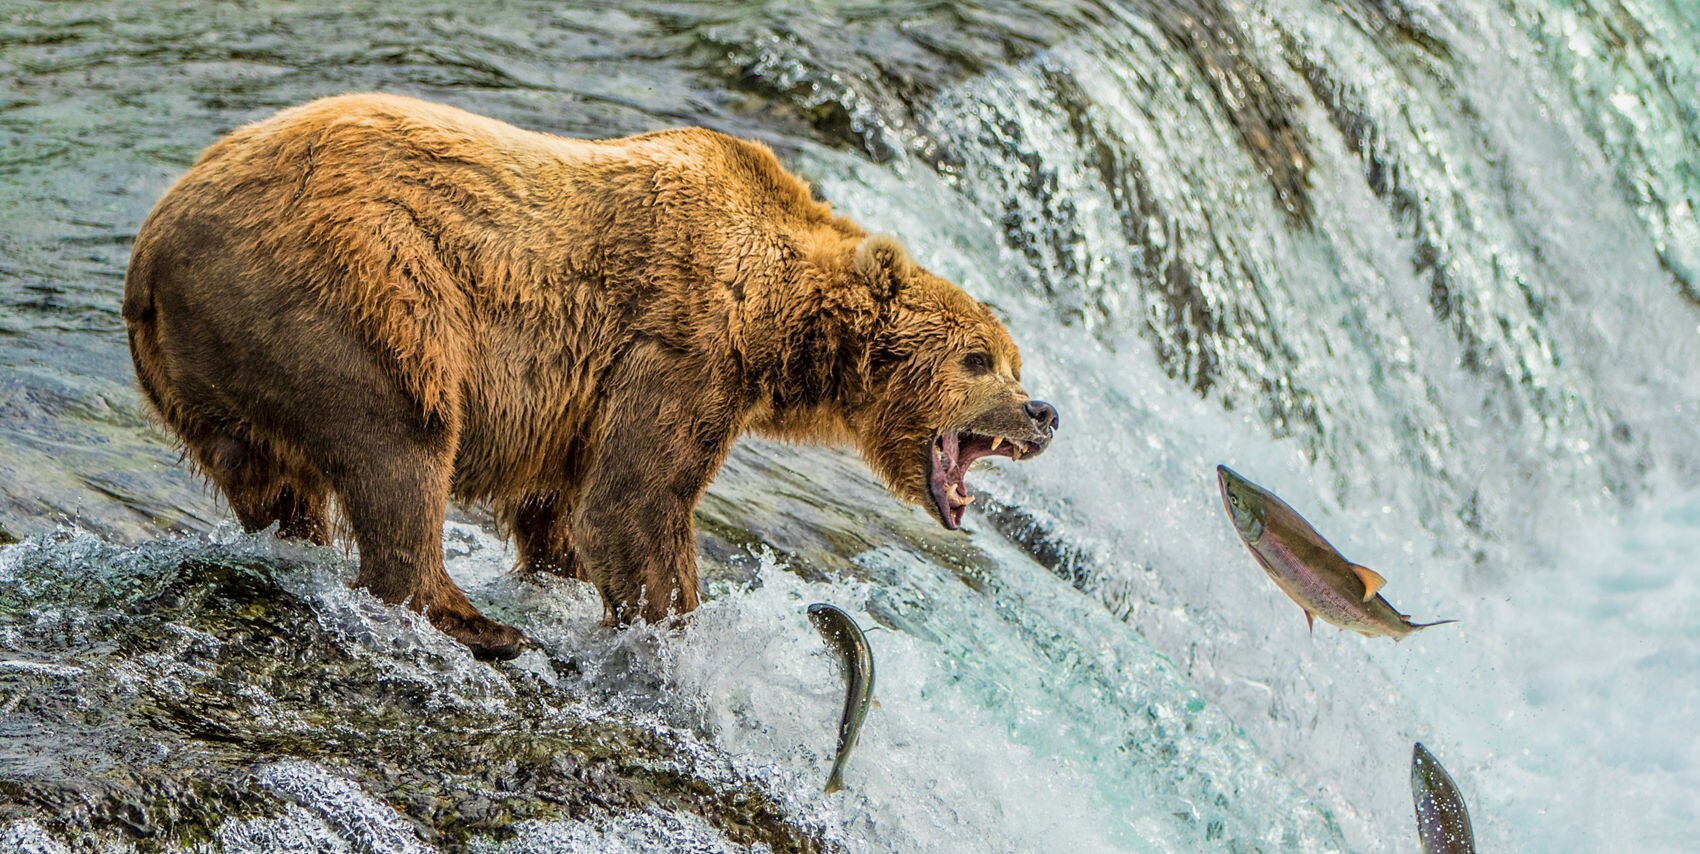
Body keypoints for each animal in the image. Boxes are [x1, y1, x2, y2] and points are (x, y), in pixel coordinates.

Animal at [123, 94, 1059, 660]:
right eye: (979, 357)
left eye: (1013, 359)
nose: (1045, 412)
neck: (774, 316)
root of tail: (153, 246)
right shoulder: (681, 343)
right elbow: (637, 501)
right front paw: (678, 627)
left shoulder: (586, 396)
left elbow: (564, 506)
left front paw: (569, 576)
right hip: (356, 292)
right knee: (403, 442)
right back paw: (478, 623)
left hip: (219, 369)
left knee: (274, 480)